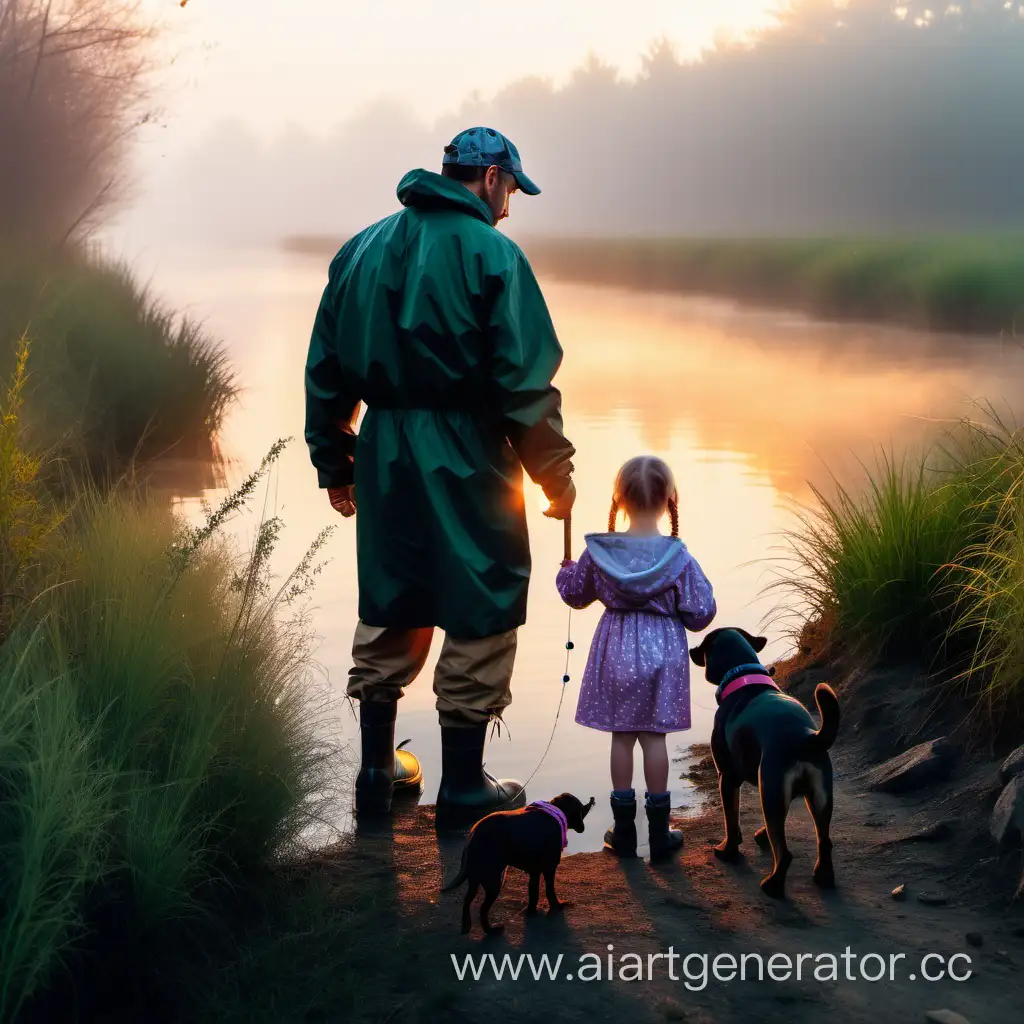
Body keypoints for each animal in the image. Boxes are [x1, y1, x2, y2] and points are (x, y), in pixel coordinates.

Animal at [444, 790, 598, 937]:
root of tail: (472, 836)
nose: (582, 828)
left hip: (475, 878)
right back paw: (492, 930)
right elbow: (550, 890)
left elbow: (533, 892)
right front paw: (557, 906)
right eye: (581, 810)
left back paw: (467, 927)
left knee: (467, 902)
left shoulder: (535, 871)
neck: (556, 809)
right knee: (482, 909)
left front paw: (531, 911)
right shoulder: (550, 867)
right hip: (492, 881)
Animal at [688, 626, 839, 901]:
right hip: (818, 796)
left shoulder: (727, 777)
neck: (745, 679)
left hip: (772, 790)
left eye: (703, 645)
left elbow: (731, 820)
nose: (691, 649)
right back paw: (823, 877)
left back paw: (772, 886)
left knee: (785, 853)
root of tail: (806, 738)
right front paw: (758, 836)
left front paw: (728, 851)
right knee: (824, 841)